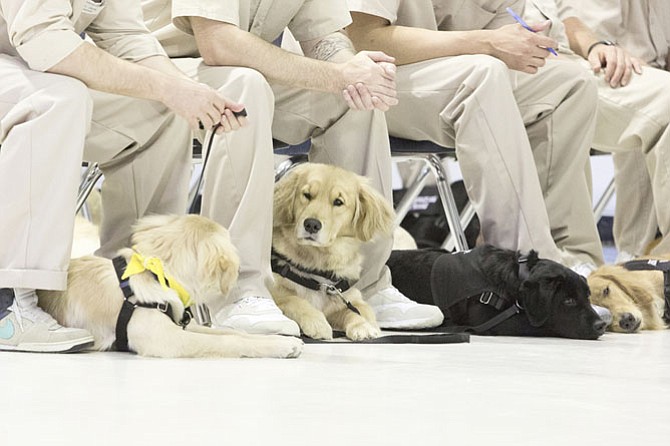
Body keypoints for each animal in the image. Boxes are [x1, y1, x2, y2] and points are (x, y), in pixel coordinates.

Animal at [37, 213, 304, 358]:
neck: (156, 275)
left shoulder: (182, 325)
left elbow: (230, 332)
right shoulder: (169, 339)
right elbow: (228, 342)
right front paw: (281, 345)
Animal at [272, 164, 396, 342]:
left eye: (338, 202)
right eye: (307, 195)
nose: (311, 224)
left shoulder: (344, 299)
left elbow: (357, 311)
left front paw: (363, 325)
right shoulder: (276, 292)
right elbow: (294, 300)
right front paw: (317, 323)